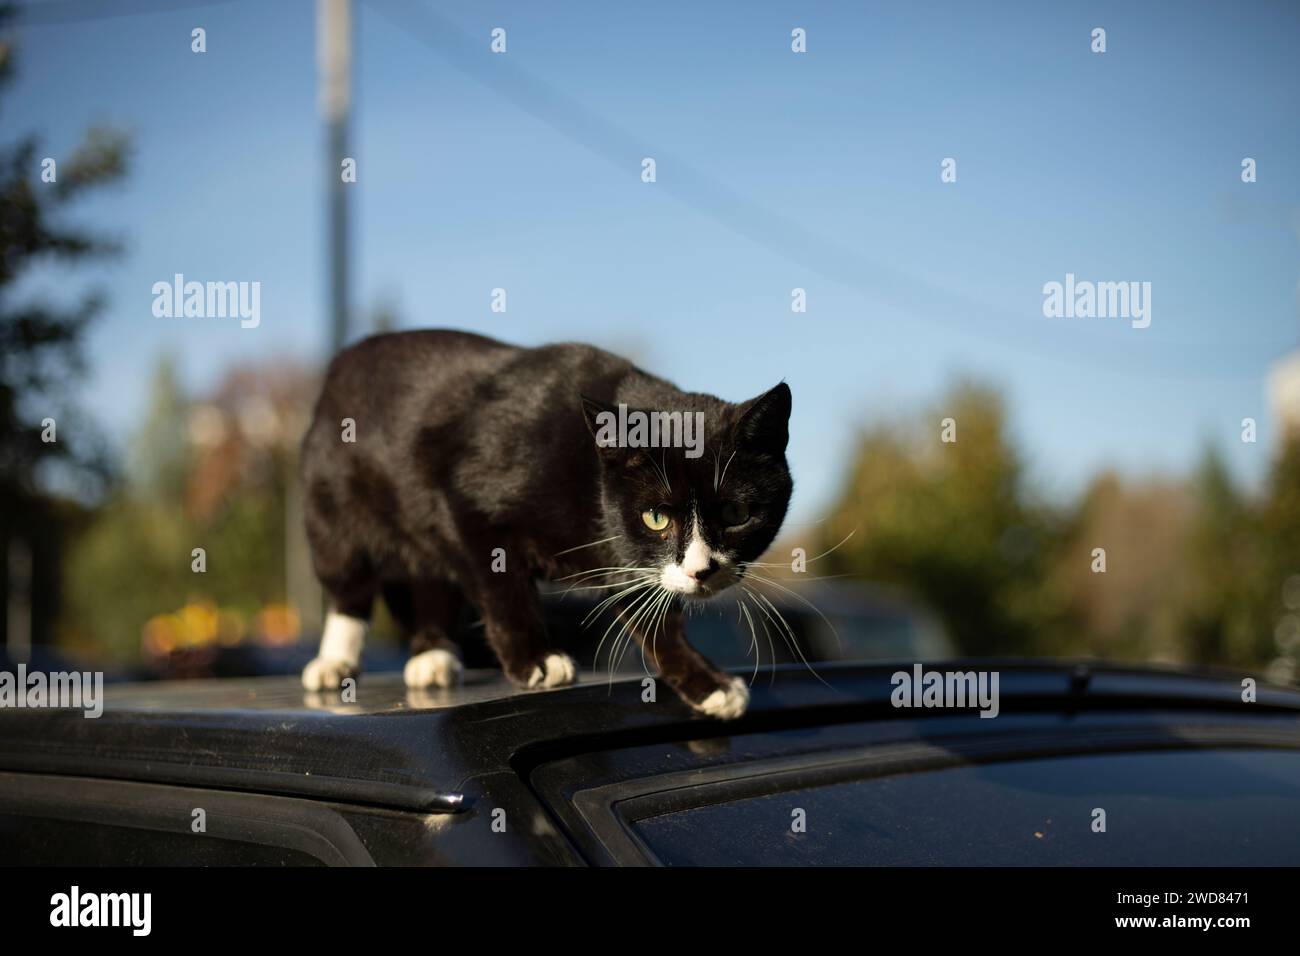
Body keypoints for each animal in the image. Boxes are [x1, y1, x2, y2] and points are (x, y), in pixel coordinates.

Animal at [301, 329, 790, 717]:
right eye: (656, 517)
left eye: (736, 515)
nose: (701, 570)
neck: (589, 473)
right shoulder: (465, 507)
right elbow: (502, 591)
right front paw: (535, 660)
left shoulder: (629, 555)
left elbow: (653, 617)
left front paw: (704, 682)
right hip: (333, 512)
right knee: (349, 586)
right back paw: (334, 662)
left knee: (429, 585)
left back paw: (432, 654)